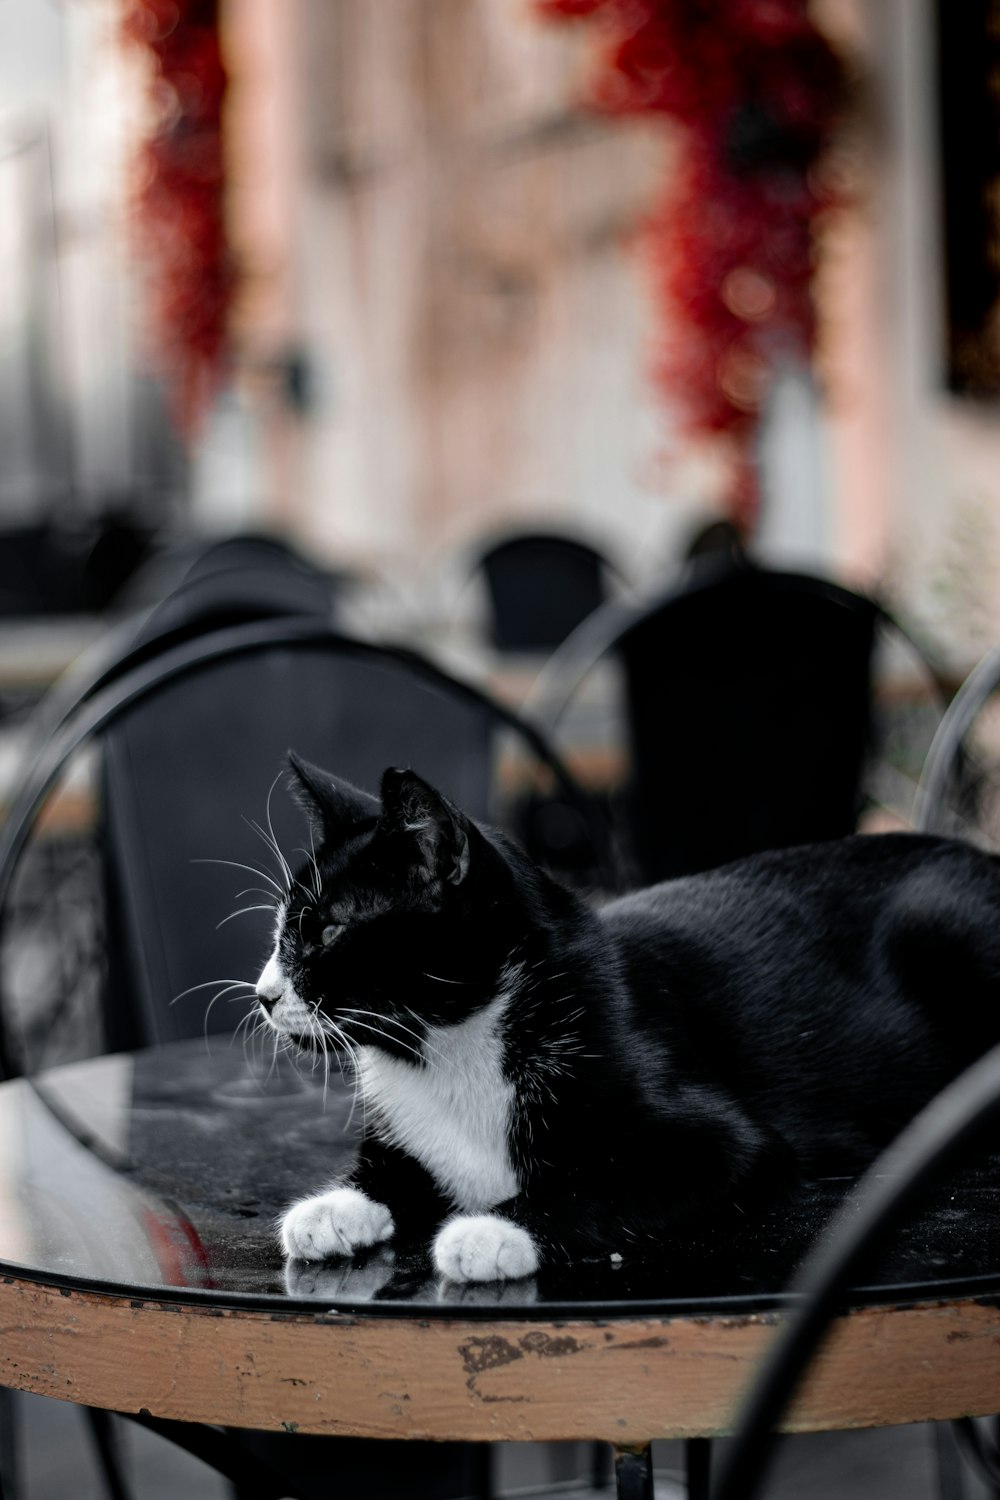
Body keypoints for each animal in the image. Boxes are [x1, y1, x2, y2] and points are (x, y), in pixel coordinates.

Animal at [251, 756, 1000, 1284]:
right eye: (283, 930)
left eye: (329, 930)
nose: (264, 994)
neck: (451, 1049)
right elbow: (393, 1168)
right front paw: (333, 1208)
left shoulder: (726, 1141)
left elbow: (607, 1183)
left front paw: (491, 1231)